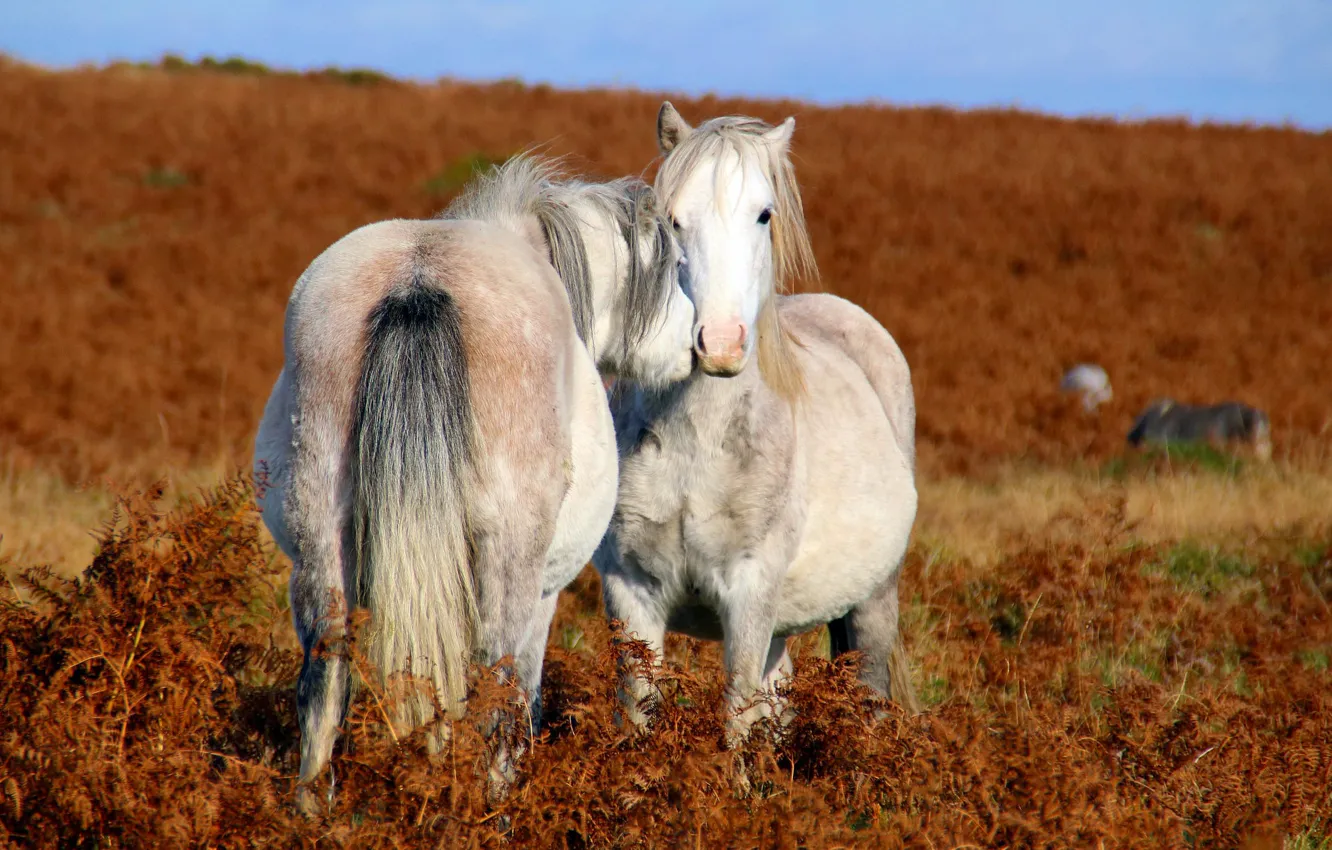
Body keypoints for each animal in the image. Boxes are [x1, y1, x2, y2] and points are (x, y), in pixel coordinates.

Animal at [252, 155, 695, 814]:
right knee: (496, 688)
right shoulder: (543, 596)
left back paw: (312, 813)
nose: (704, 344)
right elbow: (524, 696)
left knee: (323, 682)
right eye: (674, 270)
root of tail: (416, 280)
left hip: (321, 543)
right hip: (507, 565)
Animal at [593, 103, 920, 747]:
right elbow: (640, 710)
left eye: (763, 213)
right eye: (673, 219)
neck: (698, 445)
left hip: (872, 603)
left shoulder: (748, 594)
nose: (719, 343)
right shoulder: (631, 592)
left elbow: (736, 718)